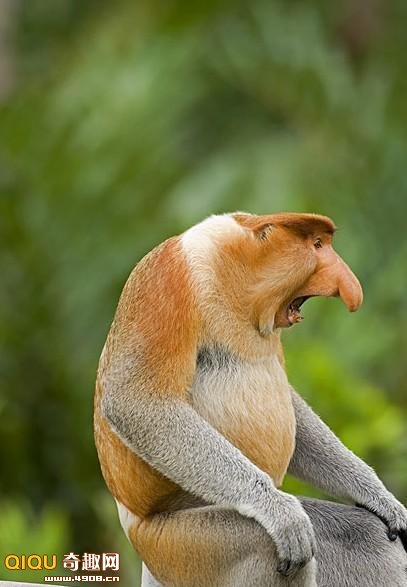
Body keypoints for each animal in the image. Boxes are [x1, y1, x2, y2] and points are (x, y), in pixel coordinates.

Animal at [93, 214, 407, 584]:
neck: (231, 272)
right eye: (317, 245)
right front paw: (280, 513)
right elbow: (135, 401)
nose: (351, 290)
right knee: (264, 545)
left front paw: (380, 498)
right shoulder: (168, 278)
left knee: (363, 535)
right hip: (176, 545)